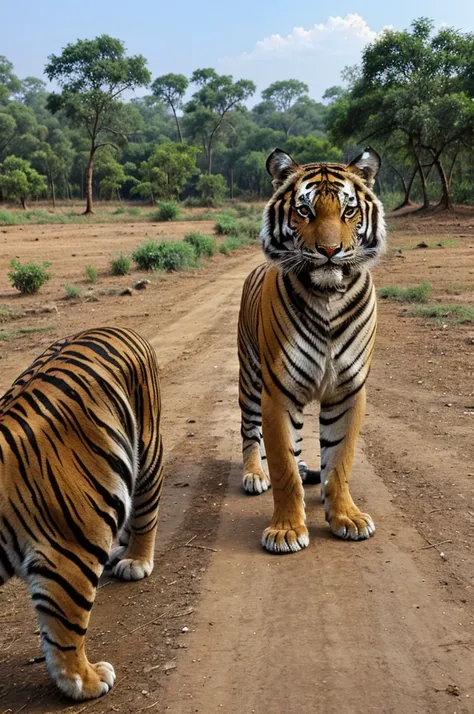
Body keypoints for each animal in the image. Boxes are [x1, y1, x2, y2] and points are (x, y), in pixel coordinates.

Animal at [0, 326, 164, 696]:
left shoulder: (68, 556)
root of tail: (118, 327)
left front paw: (84, 681)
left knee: (145, 512)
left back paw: (136, 560)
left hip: (147, 451)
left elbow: (65, 631)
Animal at [239, 147, 386, 552]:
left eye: (348, 210)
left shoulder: (348, 390)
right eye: (304, 210)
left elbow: (339, 460)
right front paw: (287, 530)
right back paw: (253, 475)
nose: (330, 251)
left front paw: (346, 517)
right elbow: (283, 466)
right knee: (249, 432)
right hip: (250, 378)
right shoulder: (278, 392)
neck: (327, 295)